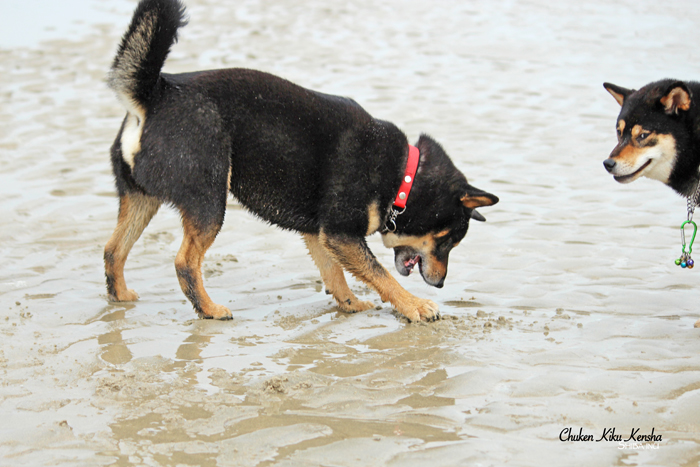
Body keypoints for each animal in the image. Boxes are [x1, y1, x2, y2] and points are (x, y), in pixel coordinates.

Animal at [104, 0, 499, 322]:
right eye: (446, 240)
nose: (441, 284)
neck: (403, 175)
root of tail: (154, 94)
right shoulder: (341, 232)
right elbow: (381, 275)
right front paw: (415, 306)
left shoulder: (320, 234)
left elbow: (335, 275)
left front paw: (351, 305)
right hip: (209, 201)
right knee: (185, 263)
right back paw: (209, 309)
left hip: (141, 199)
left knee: (113, 250)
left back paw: (120, 296)